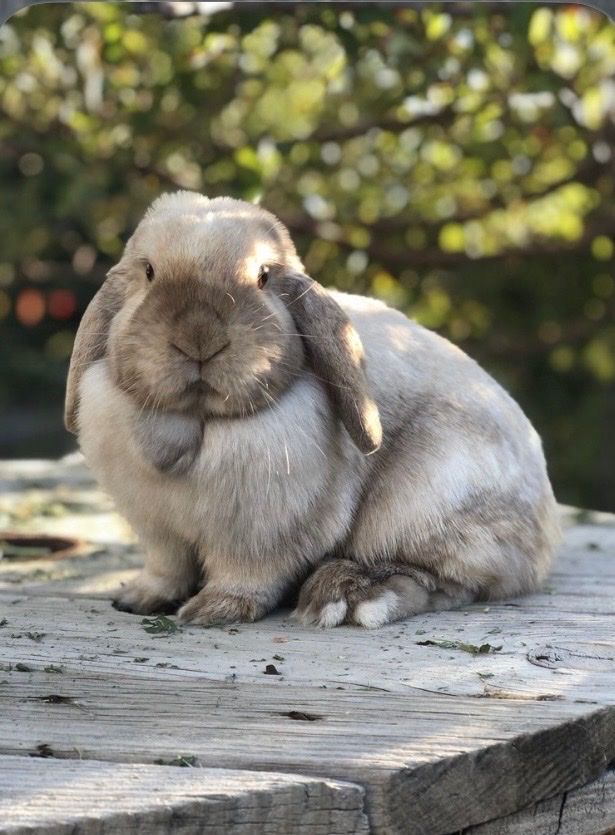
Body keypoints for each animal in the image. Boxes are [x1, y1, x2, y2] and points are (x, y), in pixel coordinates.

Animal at [65, 190, 561, 628]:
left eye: (263, 277)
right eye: (149, 272)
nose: (199, 338)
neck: (197, 420)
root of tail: (544, 530)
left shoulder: (261, 534)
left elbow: (246, 576)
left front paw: (213, 610)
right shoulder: (159, 531)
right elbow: (167, 568)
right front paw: (139, 599)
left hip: (425, 502)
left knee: (451, 580)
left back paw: (348, 596)